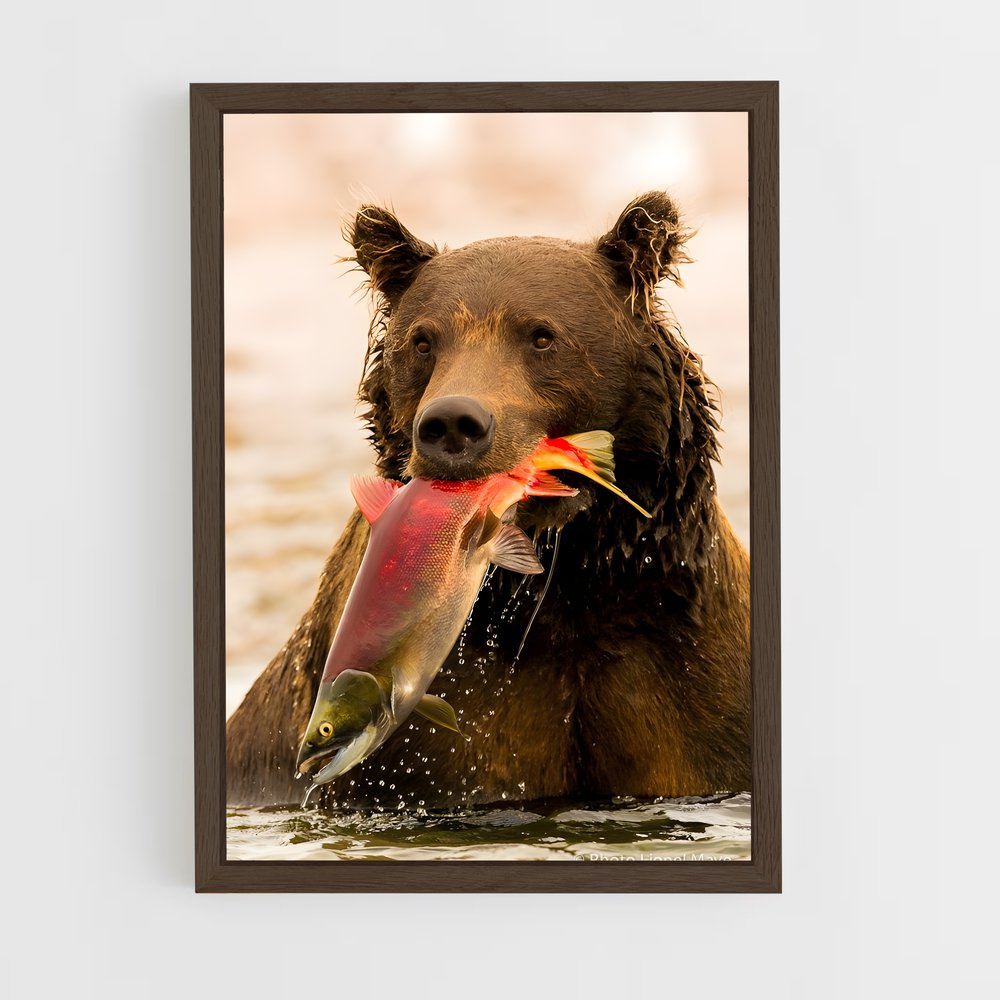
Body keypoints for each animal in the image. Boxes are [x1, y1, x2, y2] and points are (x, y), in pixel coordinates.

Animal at [225, 192, 750, 809]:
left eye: (542, 335)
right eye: (423, 340)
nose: (452, 423)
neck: (571, 587)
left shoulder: (683, 669)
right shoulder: (448, 713)